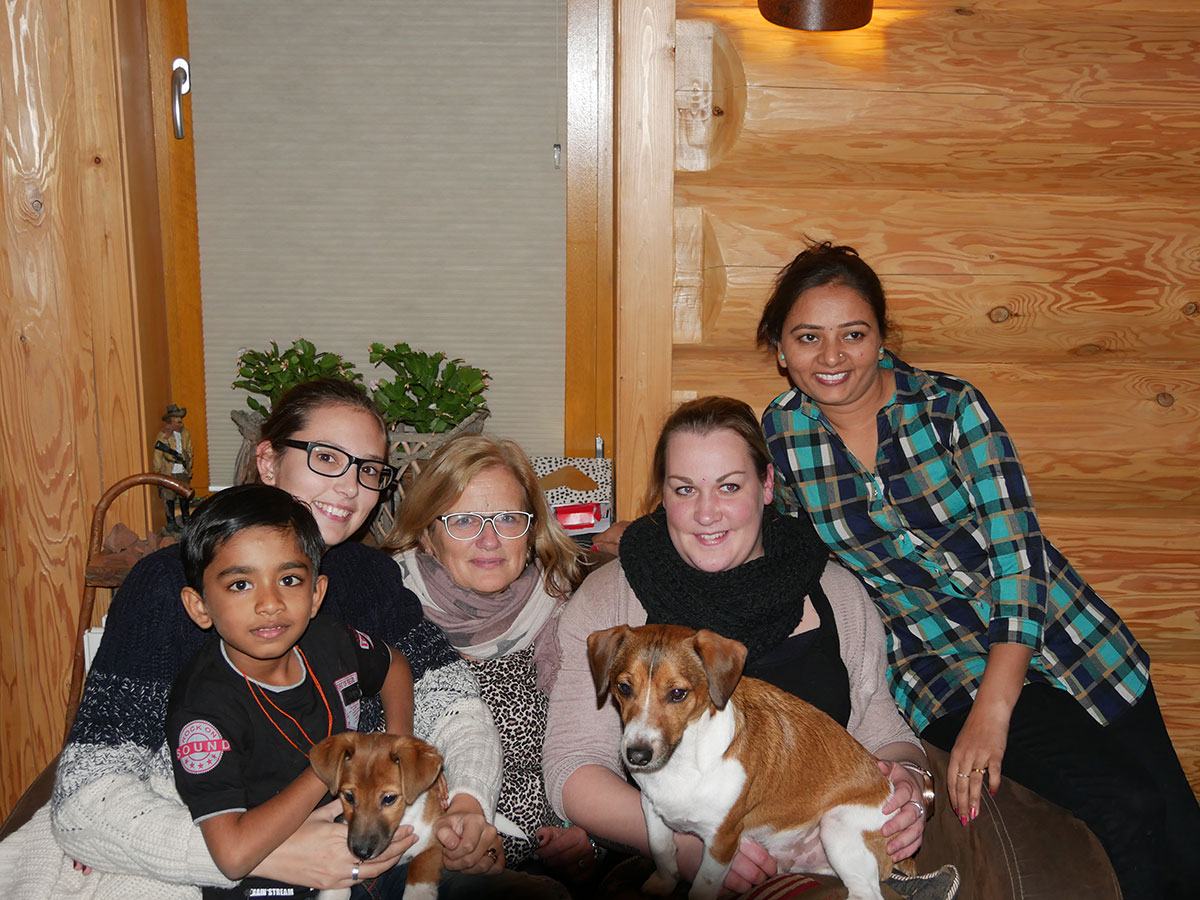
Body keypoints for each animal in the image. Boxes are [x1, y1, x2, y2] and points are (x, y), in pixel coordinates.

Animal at [310, 732, 448, 900]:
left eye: (389, 798)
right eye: (349, 796)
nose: (361, 852)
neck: (405, 819)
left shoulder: (434, 844)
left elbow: (419, 878)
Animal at [587, 623, 915, 900]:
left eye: (678, 693)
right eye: (624, 688)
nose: (637, 756)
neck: (683, 762)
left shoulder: (722, 841)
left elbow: (700, 887)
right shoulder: (651, 809)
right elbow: (663, 852)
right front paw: (663, 883)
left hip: (839, 828)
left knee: (866, 893)